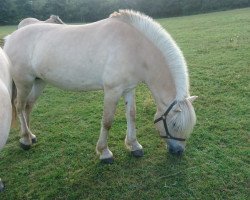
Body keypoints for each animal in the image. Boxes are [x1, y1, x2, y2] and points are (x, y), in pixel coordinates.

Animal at [3, 10, 197, 163]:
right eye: (175, 124)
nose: (178, 151)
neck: (134, 48)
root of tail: (10, 37)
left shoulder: (129, 89)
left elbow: (131, 115)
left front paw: (134, 146)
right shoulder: (112, 91)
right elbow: (107, 121)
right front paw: (105, 153)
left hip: (38, 82)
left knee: (28, 106)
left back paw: (31, 136)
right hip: (24, 82)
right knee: (19, 106)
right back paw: (25, 140)